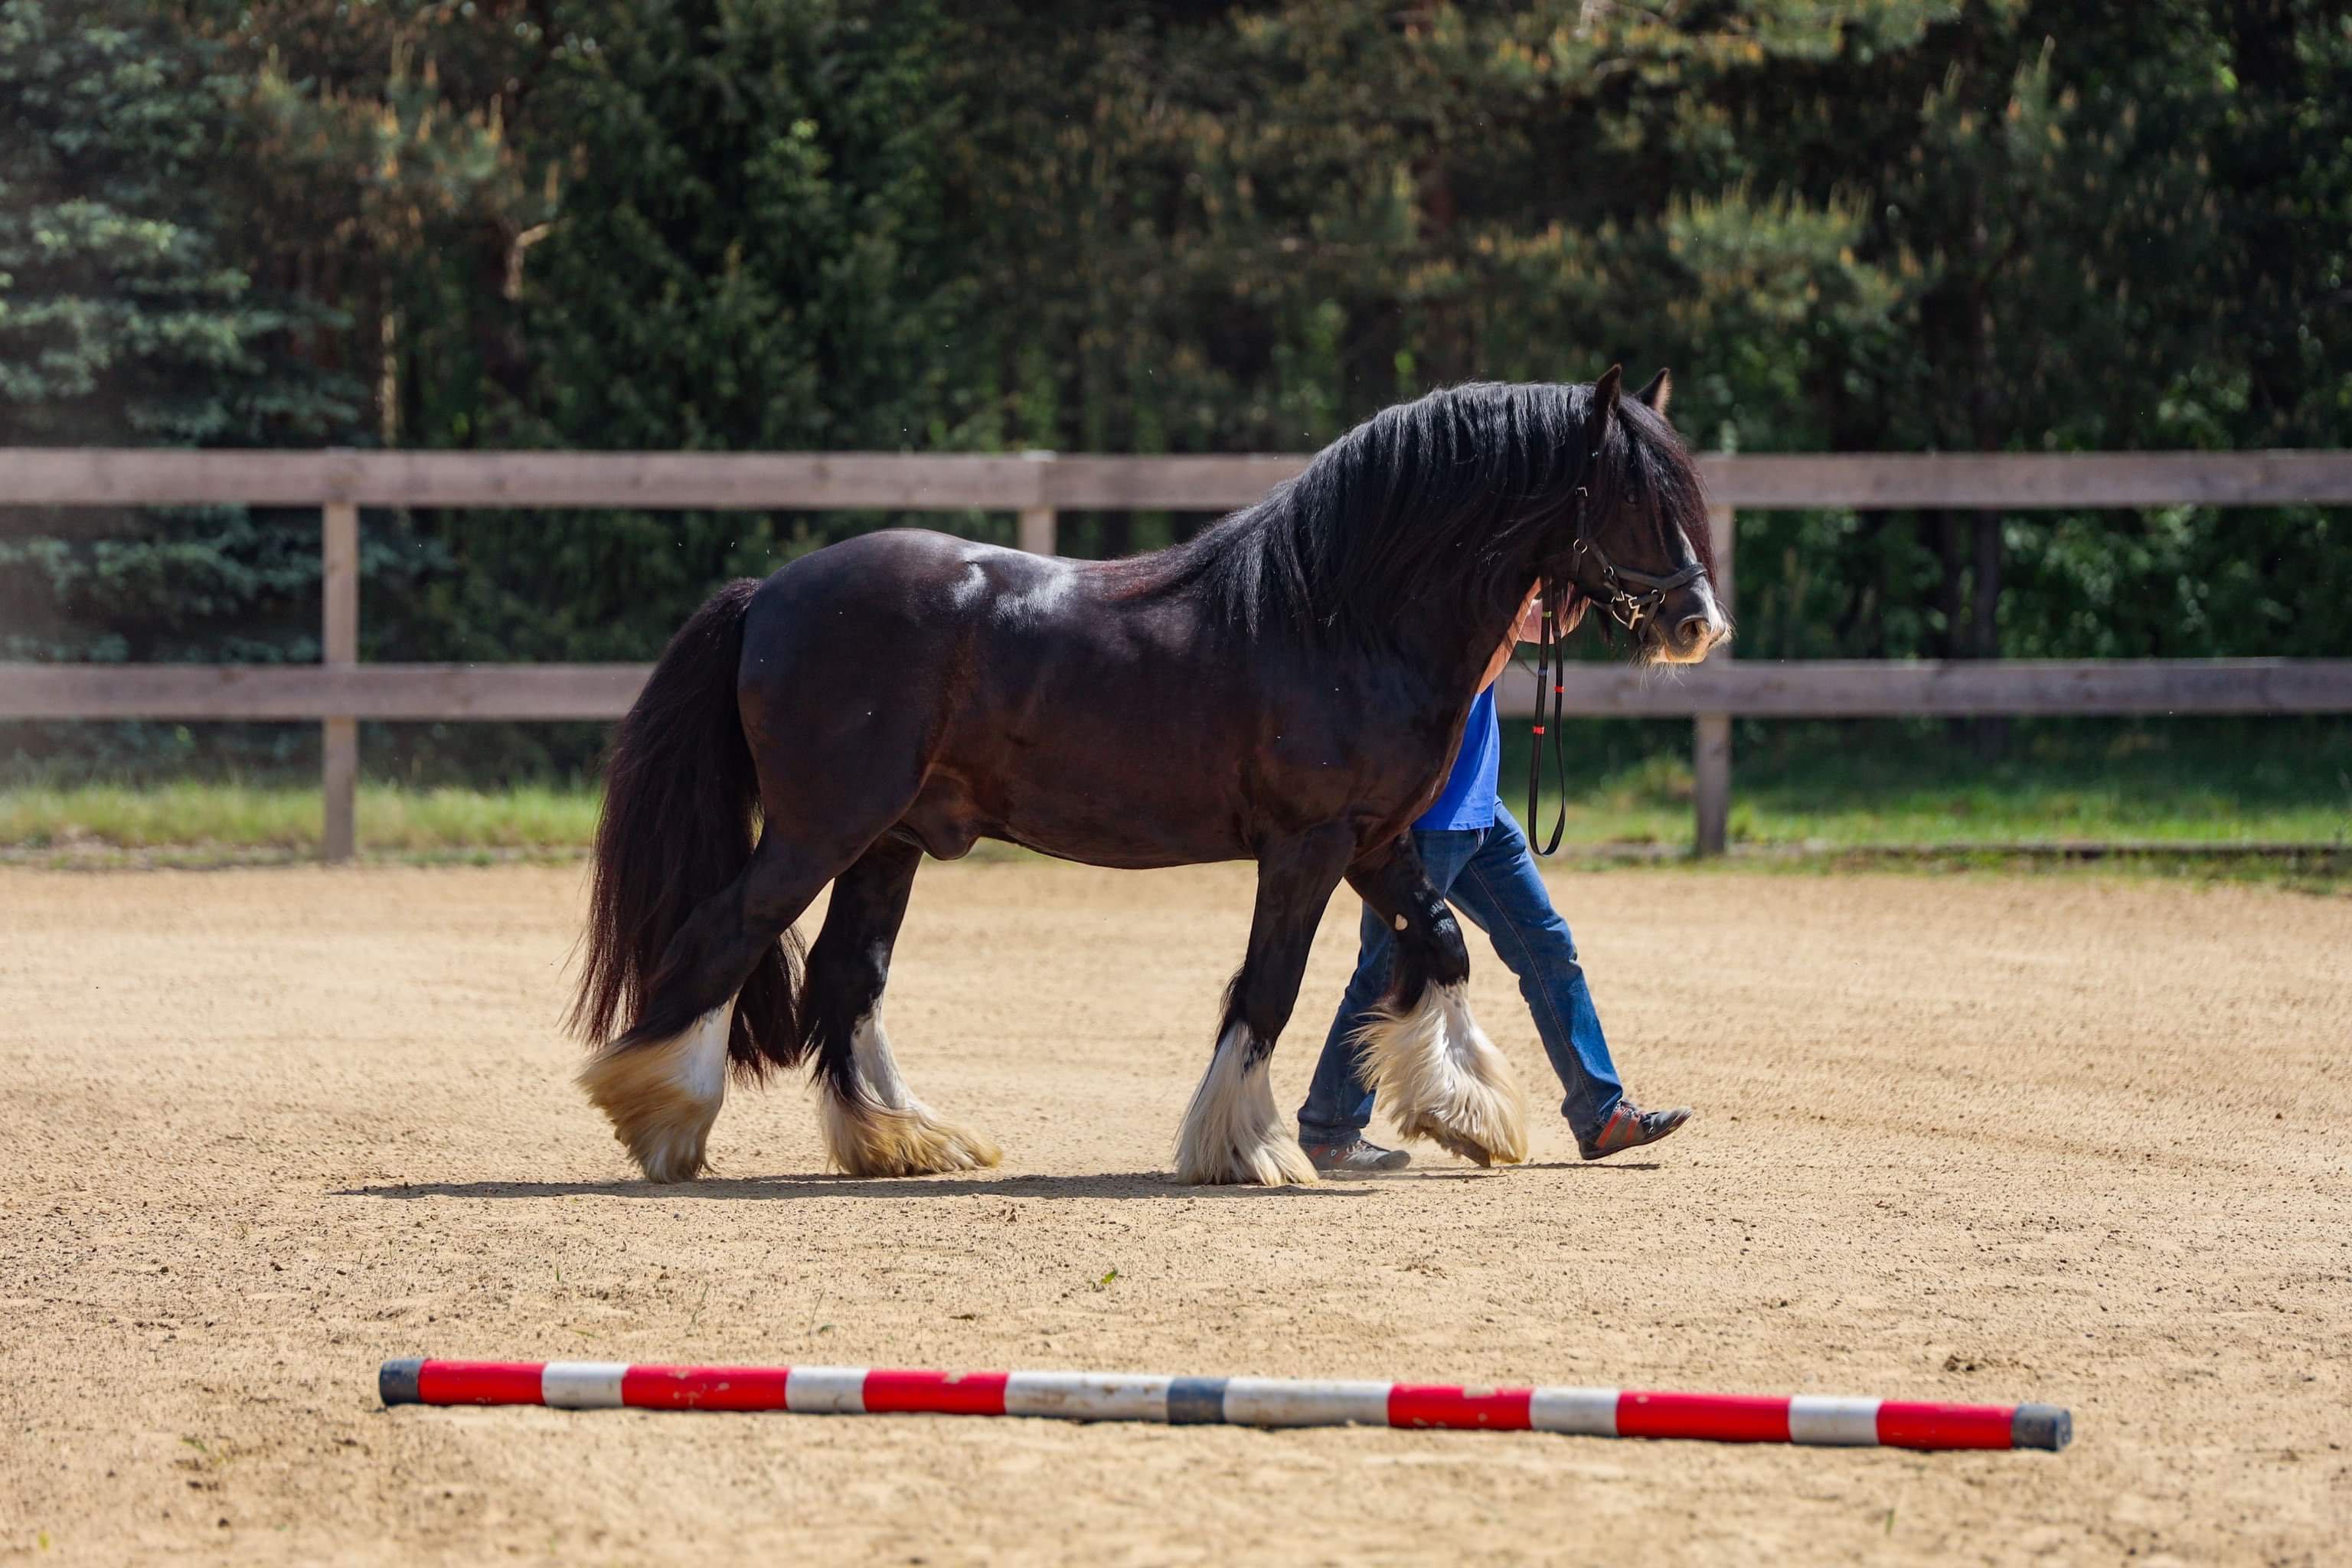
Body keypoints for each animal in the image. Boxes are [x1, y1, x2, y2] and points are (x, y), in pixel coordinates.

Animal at [571, 371, 1730, 1189]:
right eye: (1632, 493)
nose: (1697, 624)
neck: (1341, 615)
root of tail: (770, 593)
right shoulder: (1306, 848)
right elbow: (1270, 986)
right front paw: (1246, 1149)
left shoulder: (1374, 844)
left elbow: (1441, 944)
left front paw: (1464, 1111)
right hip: (822, 829)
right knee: (726, 936)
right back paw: (663, 1120)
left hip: (887, 844)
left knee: (848, 981)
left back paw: (903, 1140)